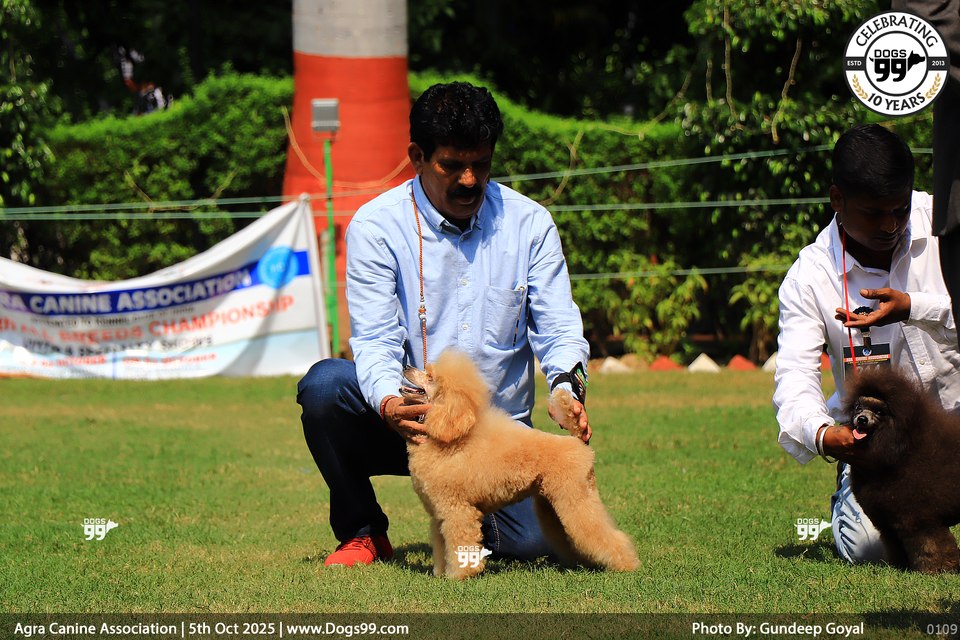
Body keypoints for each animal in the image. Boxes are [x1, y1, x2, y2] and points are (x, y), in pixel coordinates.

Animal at [399, 349, 639, 579]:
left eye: (430, 377)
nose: (406, 366)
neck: (445, 437)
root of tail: (579, 443)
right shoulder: (440, 514)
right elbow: (441, 545)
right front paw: (441, 572)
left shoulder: (458, 511)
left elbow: (460, 542)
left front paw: (459, 574)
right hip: (552, 503)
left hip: (575, 497)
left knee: (603, 533)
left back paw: (627, 564)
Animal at [843, 367, 960, 573]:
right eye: (858, 407)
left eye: (879, 411)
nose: (862, 419)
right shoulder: (888, 523)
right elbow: (895, 545)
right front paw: (898, 566)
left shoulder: (920, 520)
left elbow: (932, 546)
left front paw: (936, 570)